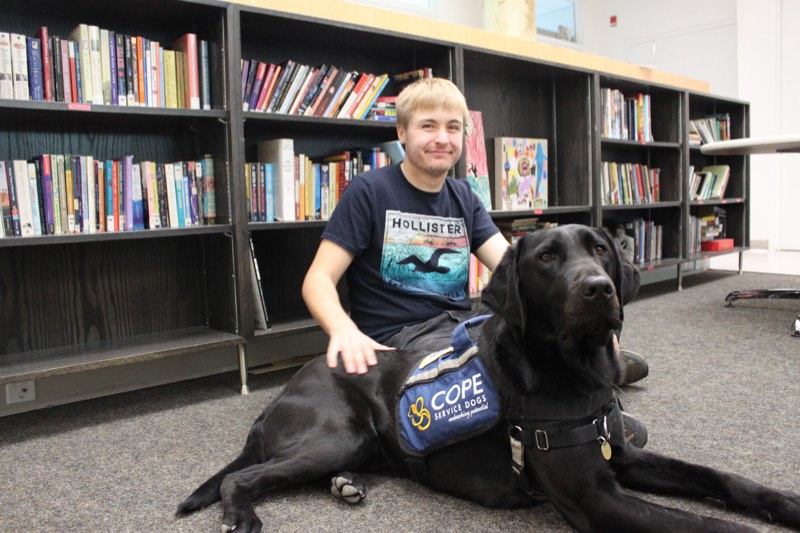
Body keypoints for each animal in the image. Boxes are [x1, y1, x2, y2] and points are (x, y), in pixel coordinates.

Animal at [180, 224, 800, 532]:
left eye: (600, 249)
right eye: (546, 258)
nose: (599, 287)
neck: (578, 375)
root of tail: (283, 391)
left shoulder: (621, 456)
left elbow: (721, 479)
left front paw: (785, 503)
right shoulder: (597, 498)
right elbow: (710, 527)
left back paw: (346, 485)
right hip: (340, 434)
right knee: (245, 477)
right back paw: (243, 515)